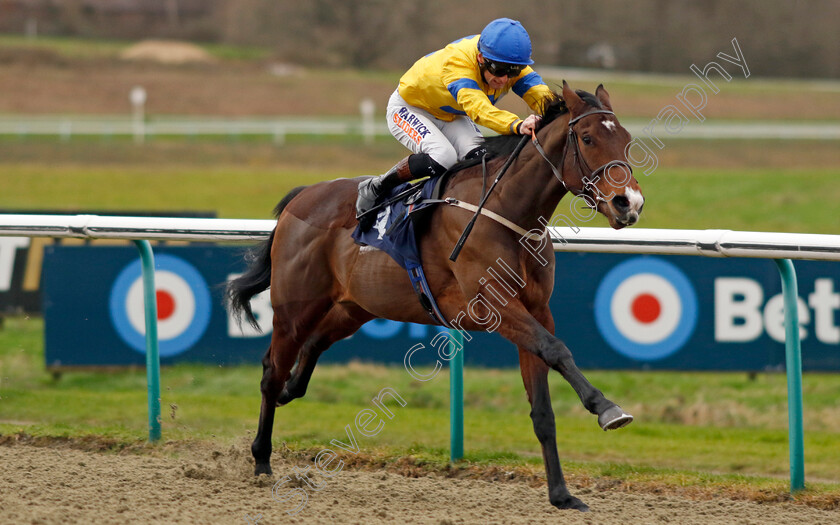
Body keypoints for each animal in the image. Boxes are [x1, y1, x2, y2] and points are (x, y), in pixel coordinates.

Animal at [228, 82, 644, 512]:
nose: (628, 203)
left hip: (354, 307)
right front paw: (607, 408)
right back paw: (261, 458)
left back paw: (291, 392)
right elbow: (557, 350)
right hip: (295, 306)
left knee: (310, 347)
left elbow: (543, 406)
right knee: (272, 371)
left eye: (627, 140)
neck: (508, 212)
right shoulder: (494, 305)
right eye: (588, 138)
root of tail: (301, 197)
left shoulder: (536, 310)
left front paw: (561, 494)